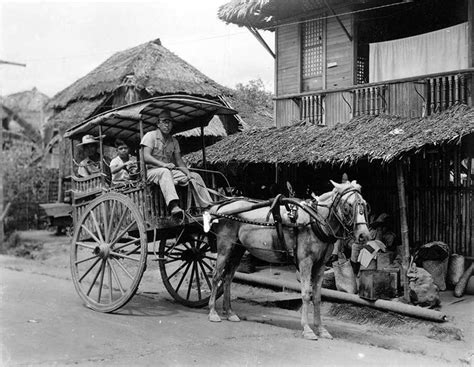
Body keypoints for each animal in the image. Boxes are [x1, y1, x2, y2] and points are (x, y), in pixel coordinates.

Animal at [206, 180, 372, 340]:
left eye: (364, 204)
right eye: (348, 206)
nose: (364, 236)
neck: (314, 221)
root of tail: (221, 207)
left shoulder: (320, 264)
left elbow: (317, 296)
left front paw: (321, 329)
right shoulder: (305, 262)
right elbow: (305, 294)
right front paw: (307, 329)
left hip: (237, 249)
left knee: (228, 277)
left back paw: (229, 312)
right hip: (225, 245)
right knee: (216, 276)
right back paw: (213, 311)